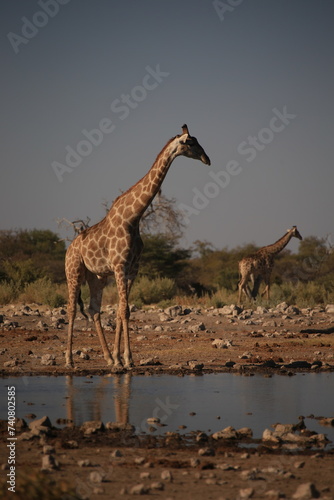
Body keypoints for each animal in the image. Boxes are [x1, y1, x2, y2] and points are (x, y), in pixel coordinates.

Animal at [65, 123, 210, 370]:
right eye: (190, 143)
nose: (206, 158)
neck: (133, 218)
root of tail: (68, 249)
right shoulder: (119, 266)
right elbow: (123, 310)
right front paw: (126, 360)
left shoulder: (132, 269)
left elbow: (124, 310)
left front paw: (121, 359)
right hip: (73, 271)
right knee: (72, 309)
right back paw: (69, 360)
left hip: (96, 277)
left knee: (94, 310)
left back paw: (107, 358)